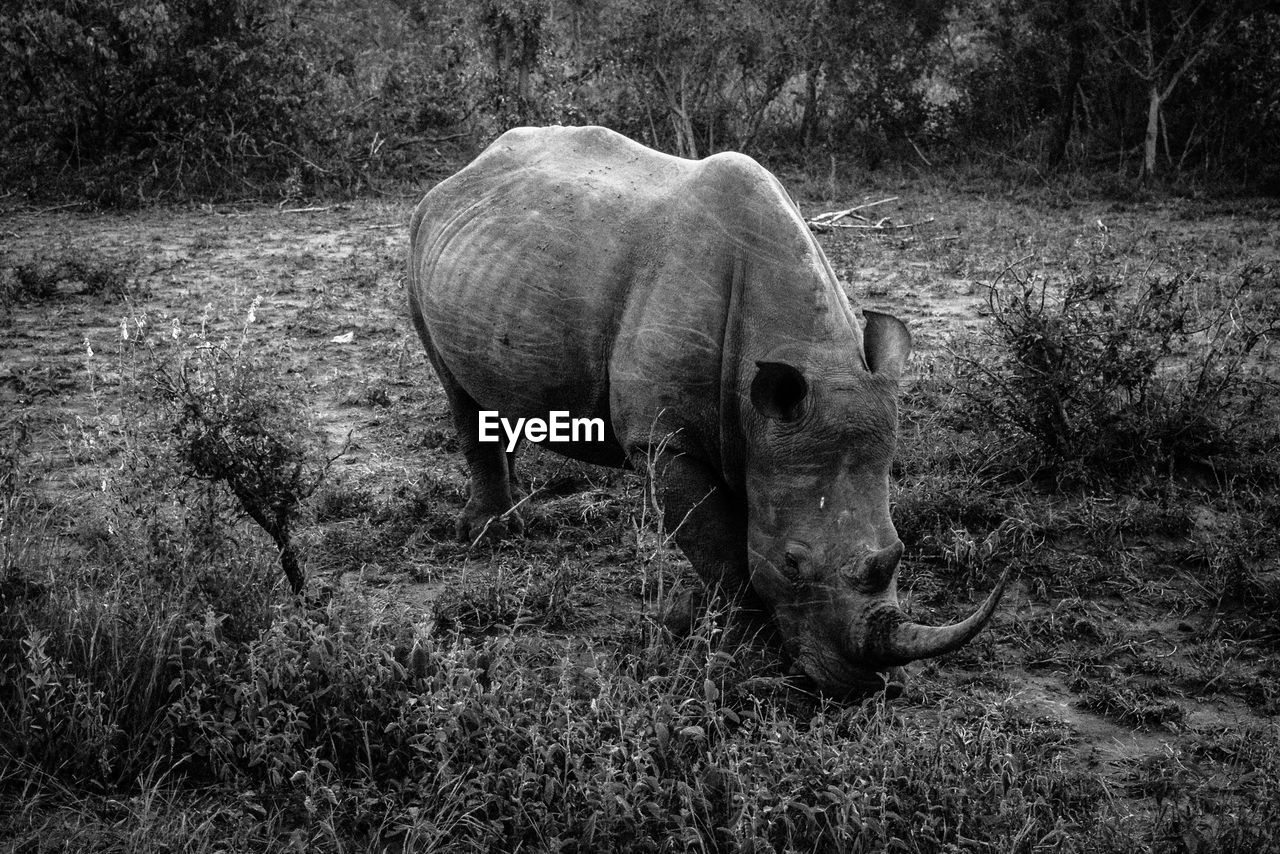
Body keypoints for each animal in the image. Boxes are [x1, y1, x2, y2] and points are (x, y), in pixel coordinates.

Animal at [409, 125, 1008, 696]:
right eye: (792, 564)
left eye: (899, 549)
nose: (860, 688)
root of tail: (463, 171)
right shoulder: (663, 440)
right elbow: (719, 543)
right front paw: (746, 648)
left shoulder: (764, 436)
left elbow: (734, 531)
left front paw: (698, 618)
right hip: (421, 240)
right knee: (455, 389)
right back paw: (487, 534)